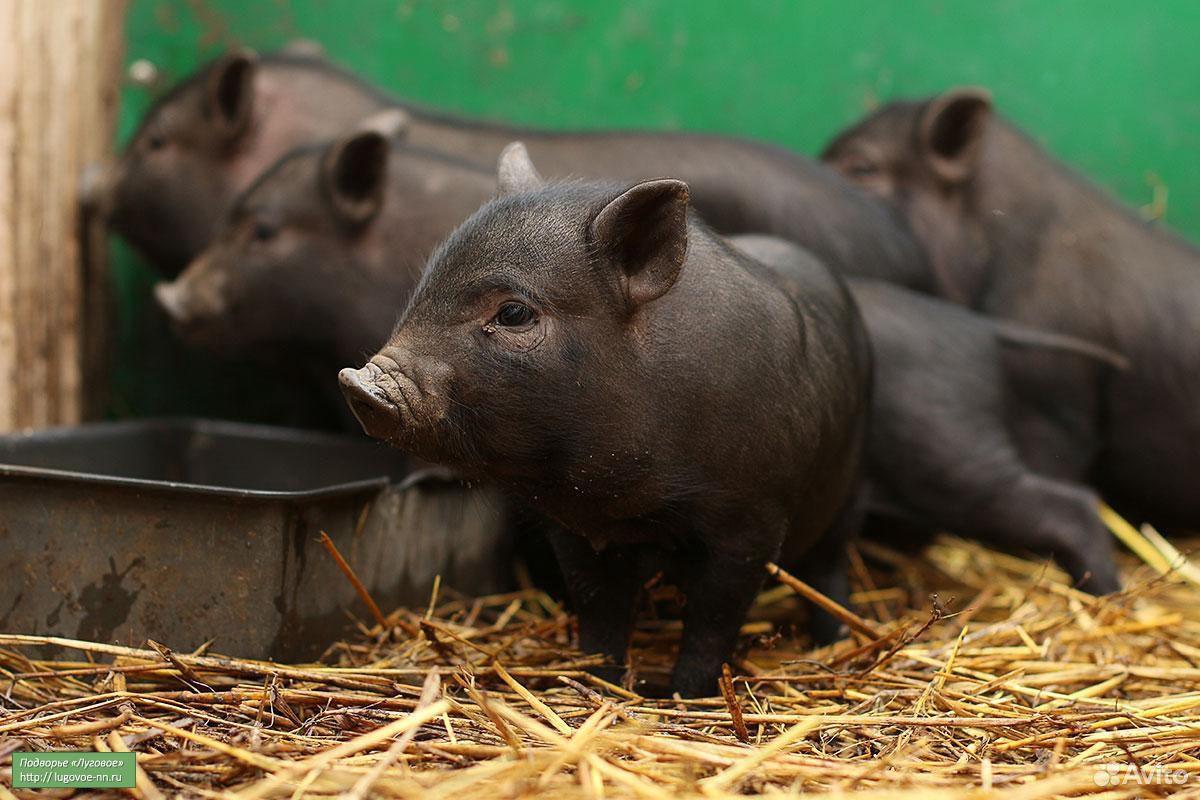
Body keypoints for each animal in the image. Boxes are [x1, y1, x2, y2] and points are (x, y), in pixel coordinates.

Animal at [338, 146, 873, 695]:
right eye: (425, 285)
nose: (359, 383)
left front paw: (683, 693)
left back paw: (834, 640)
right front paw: (598, 681)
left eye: (513, 313)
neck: (634, 498)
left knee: (829, 567)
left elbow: (714, 617)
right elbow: (598, 604)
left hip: (848, 491)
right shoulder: (574, 524)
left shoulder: (752, 518)